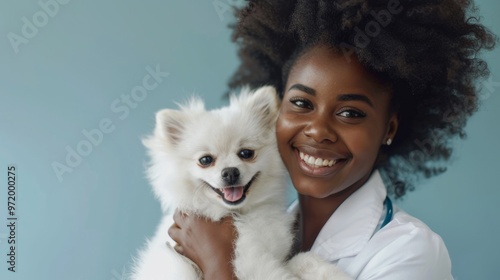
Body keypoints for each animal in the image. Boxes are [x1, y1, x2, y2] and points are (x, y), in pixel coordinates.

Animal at [133, 86, 352, 280]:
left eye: (246, 153)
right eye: (205, 160)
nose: (230, 172)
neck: (241, 215)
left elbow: (303, 260)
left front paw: (334, 273)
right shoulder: (249, 261)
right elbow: (281, 272)